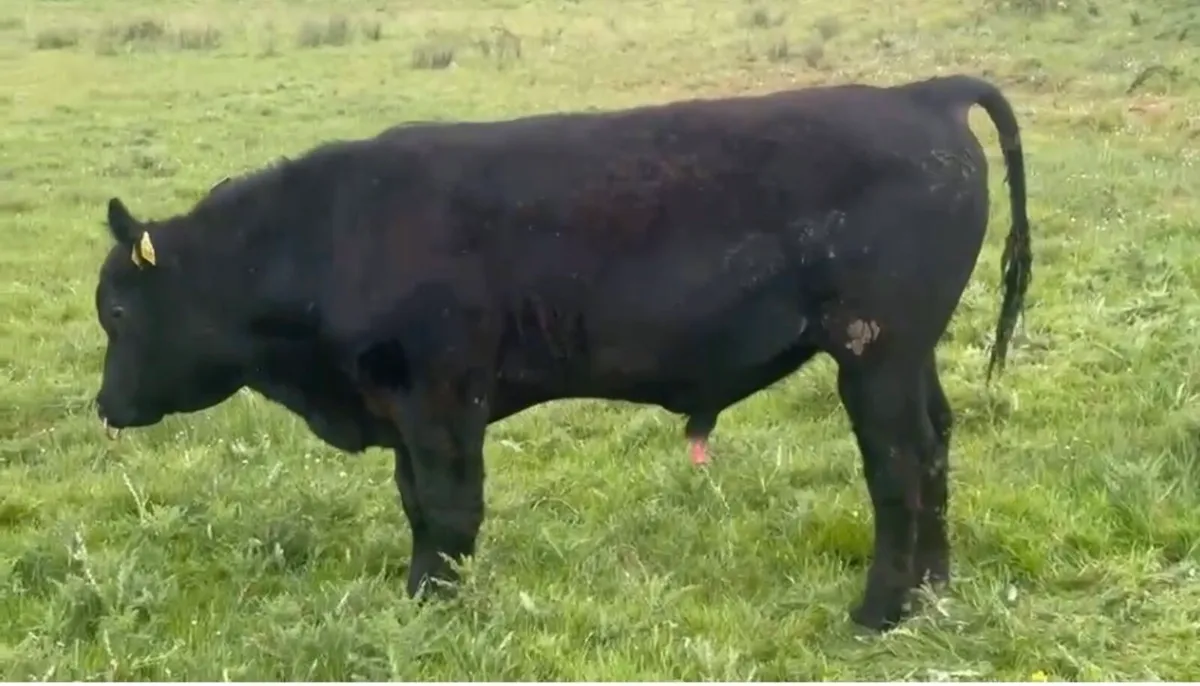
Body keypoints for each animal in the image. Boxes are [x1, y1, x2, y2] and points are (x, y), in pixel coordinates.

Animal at [92, 73, 1031, 631]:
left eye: (117, 310)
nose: (105, 405)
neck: (330, 234)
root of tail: (919, 93)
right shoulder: (406, 412)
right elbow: (418, 503)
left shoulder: (441, 397)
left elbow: (446, 505)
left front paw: (430, 601)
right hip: (909, 356)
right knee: (937, 448)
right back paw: (933, 589)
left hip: (875, 355)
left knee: (899, 467)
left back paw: (880, 609)